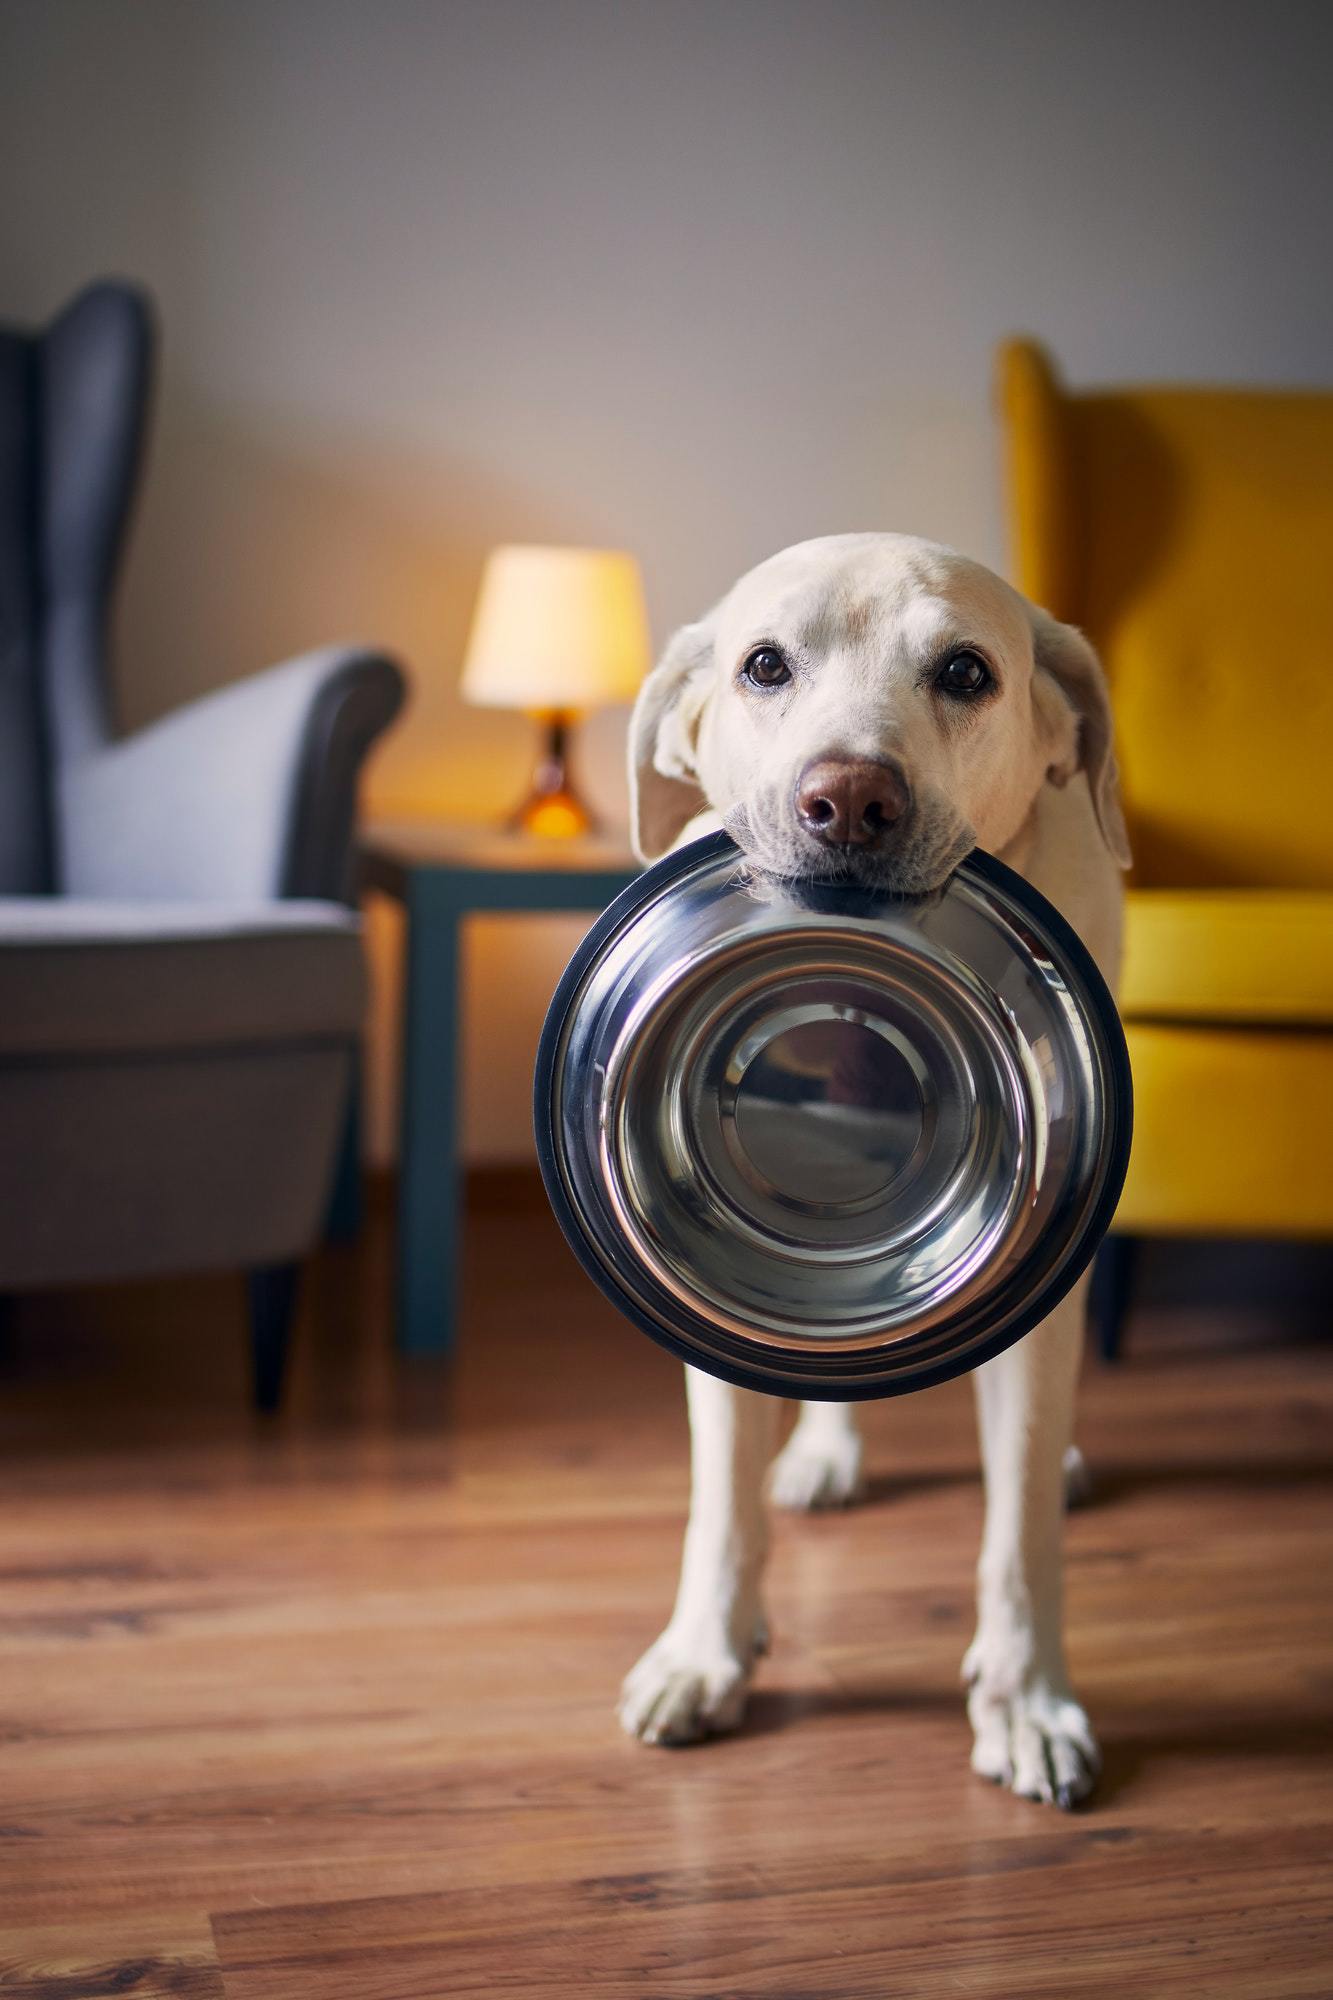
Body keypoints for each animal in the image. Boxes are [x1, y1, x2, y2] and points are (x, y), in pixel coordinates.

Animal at [612, 532, 1120, 1816]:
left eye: (965, 671)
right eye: (762, 664)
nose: (848, 796)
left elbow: (1018, 1529)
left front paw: (1026, 1700)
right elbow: (721, 1507)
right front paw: (703, 1651)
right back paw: (823, 1454)